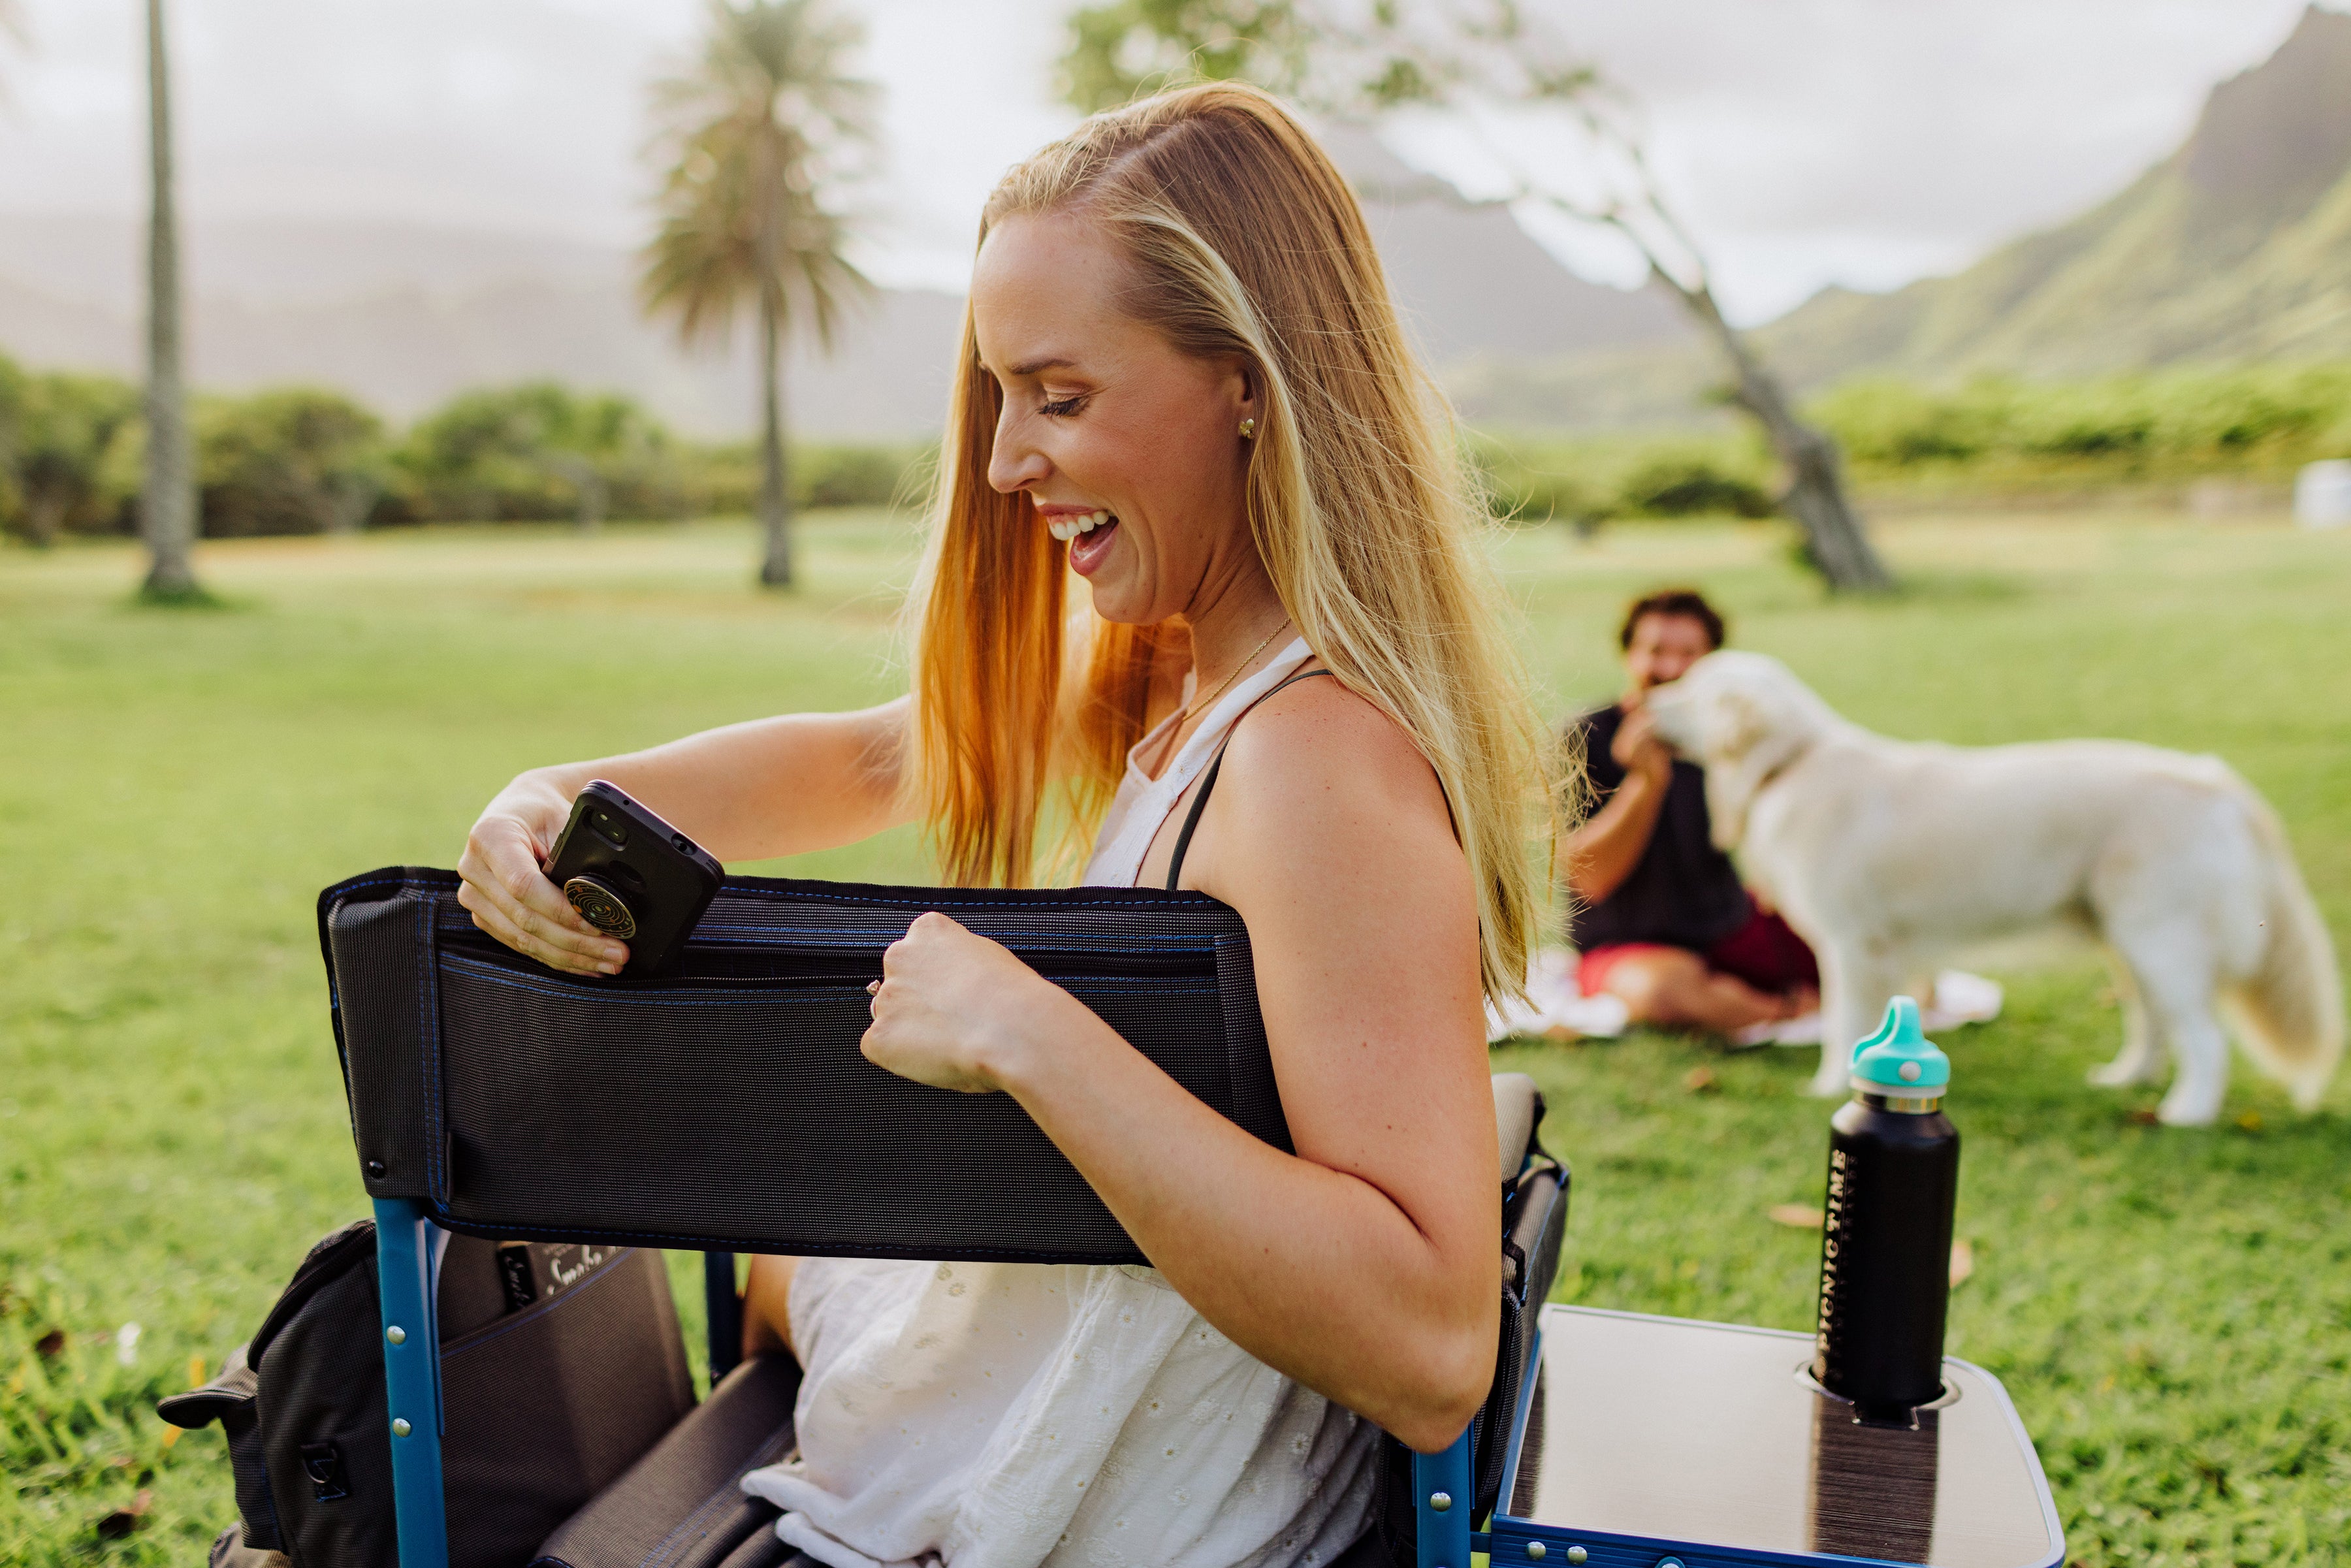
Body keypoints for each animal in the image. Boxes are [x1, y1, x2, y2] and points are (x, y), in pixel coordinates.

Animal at [1646, 653, 2341, 1128]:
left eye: (1690, 690)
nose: (1647, 698)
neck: (1793, 762)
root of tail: (2217, 780)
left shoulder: (1850, 944)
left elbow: (1843, 1024)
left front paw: (1823, 1088)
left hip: (2159, 938)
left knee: (2206, 1039)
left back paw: (2186, 1113)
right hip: (2129, 942)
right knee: (2154, 1022)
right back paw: (2125, 1079)